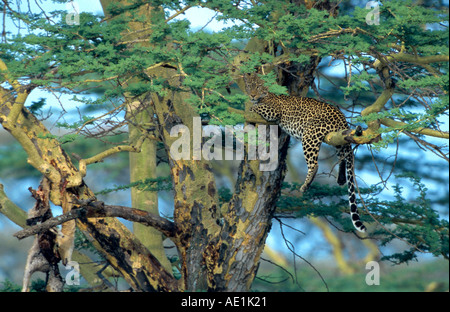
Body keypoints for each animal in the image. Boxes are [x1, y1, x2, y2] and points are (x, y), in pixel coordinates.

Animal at [246, 73, 366, 234]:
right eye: (249, 86)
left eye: (258, 86)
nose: (252, 95)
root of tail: (342, 117)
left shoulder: (273, 110)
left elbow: (259, 106)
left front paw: (251, 106)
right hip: (337, 138)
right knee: (343, 155)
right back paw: (341, 178)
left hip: (310, 134)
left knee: (315, 164)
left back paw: (306, 184)